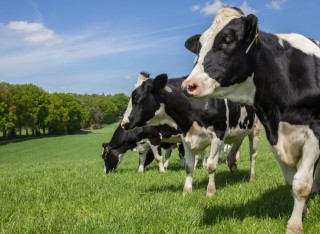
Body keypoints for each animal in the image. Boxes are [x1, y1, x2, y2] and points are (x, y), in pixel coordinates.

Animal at [120, 72, 260, 198]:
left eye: (137, 97)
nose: (123, 123)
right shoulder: (185, 137)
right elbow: (188, 166)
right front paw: (186, 191)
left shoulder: (218, 136)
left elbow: (211, 166)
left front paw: (210, 191)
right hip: (239, 129)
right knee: (236, 144)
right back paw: (232, 165)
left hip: (255, 129)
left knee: (252, 155)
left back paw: (251, 177)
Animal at [181, 5, 320, 234]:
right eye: (199, 45)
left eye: (227, 39)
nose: (188, 86)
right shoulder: (274, 134)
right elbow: (291, 181)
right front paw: (305, 211)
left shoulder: (314, 134)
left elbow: (301, 184)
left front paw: (294, 225)